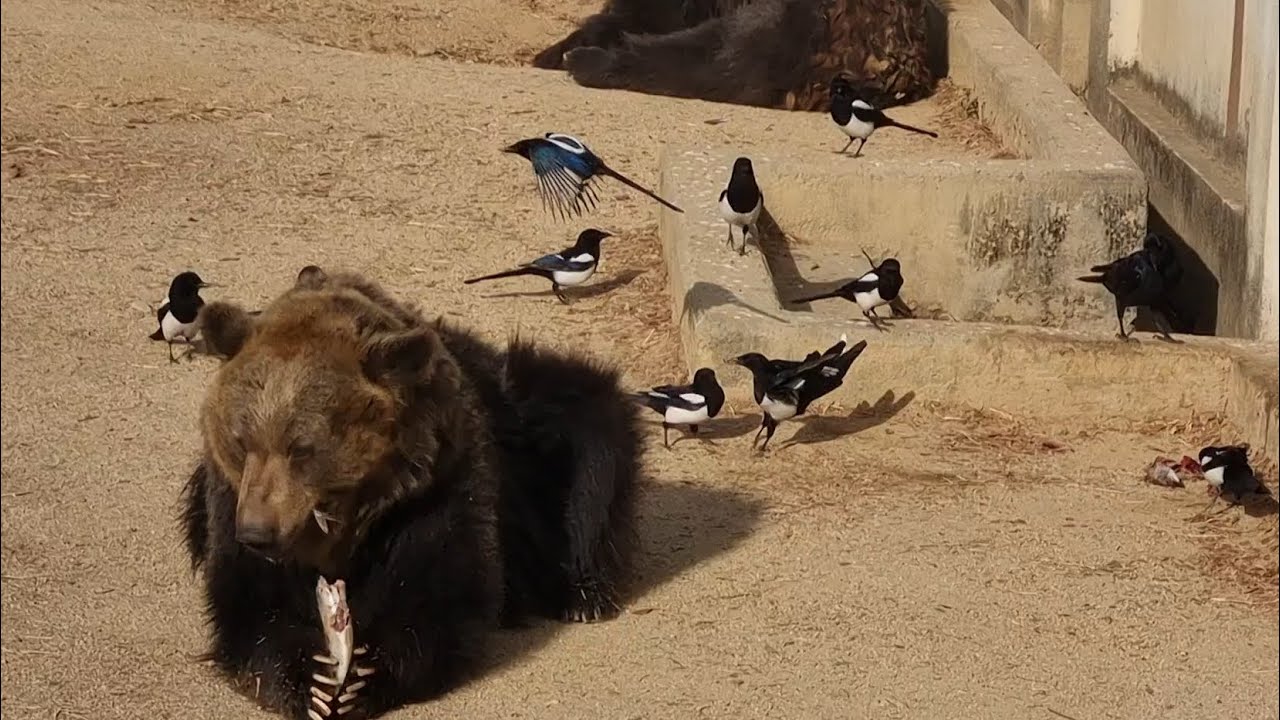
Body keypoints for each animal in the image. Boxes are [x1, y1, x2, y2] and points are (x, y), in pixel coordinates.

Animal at [179, 265, 644, 720]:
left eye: (302, 448)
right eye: (241, 440)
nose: (258, 532)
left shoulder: (435, 489)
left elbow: (440, 591)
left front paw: (362, 677)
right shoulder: (229, 499)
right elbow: (248, 600)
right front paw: (313, 679)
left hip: (532, 431)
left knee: (591, 433)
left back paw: (584, 593)